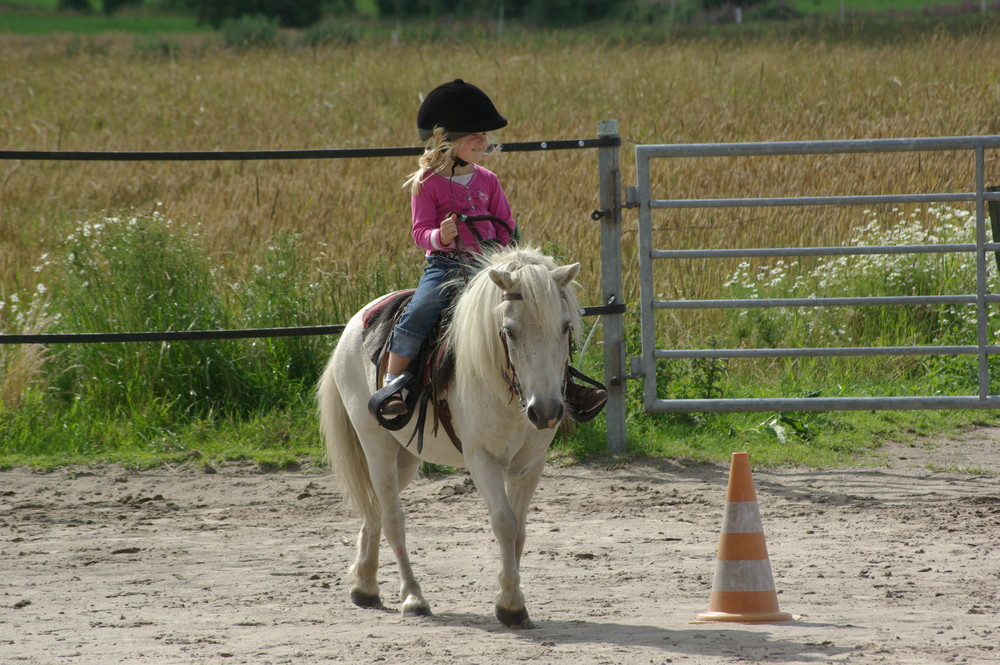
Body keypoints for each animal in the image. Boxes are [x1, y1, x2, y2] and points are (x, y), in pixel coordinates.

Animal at [316, 246, 584, 632]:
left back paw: (365, 586)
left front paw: (510, 599)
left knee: (376, 510)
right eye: (509, 331)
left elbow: (519, 529)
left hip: (404, 457)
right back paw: (413, 597)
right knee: (393, 517)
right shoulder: (483, 459)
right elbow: (504, 523)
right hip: (376, 446)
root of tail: (355, 323)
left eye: (564, 328)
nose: (546, 410)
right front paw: (511, 605)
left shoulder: (530, 464)